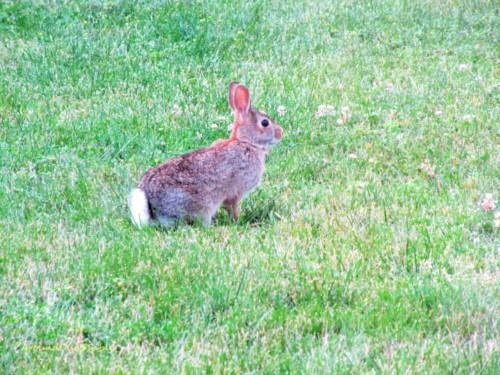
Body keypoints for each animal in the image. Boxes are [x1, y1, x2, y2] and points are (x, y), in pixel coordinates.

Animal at [129, 82, 284, 228]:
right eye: (265, 123)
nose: (281, 133)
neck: (246, 142)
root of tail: (153, 212)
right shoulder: (235, 192)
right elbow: (232, 208)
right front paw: (237, 221)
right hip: (201, 205)